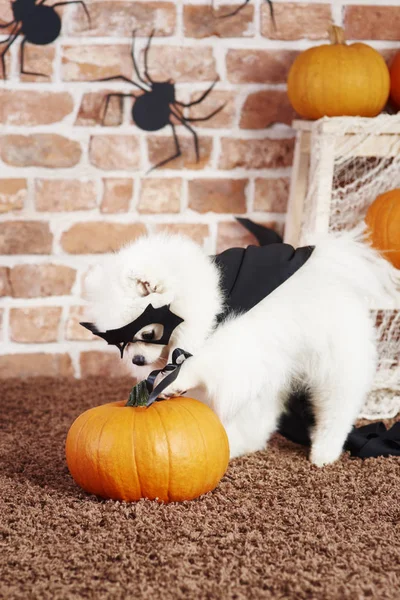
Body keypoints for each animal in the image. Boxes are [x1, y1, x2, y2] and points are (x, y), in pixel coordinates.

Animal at [85, 227, 400, 466]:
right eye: (122, 342)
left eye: (147, 333)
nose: (137, 361)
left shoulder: (237, 346)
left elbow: (201, 364)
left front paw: (175, 382)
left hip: (335, 361)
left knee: (337, 407)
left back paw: (324, 452)